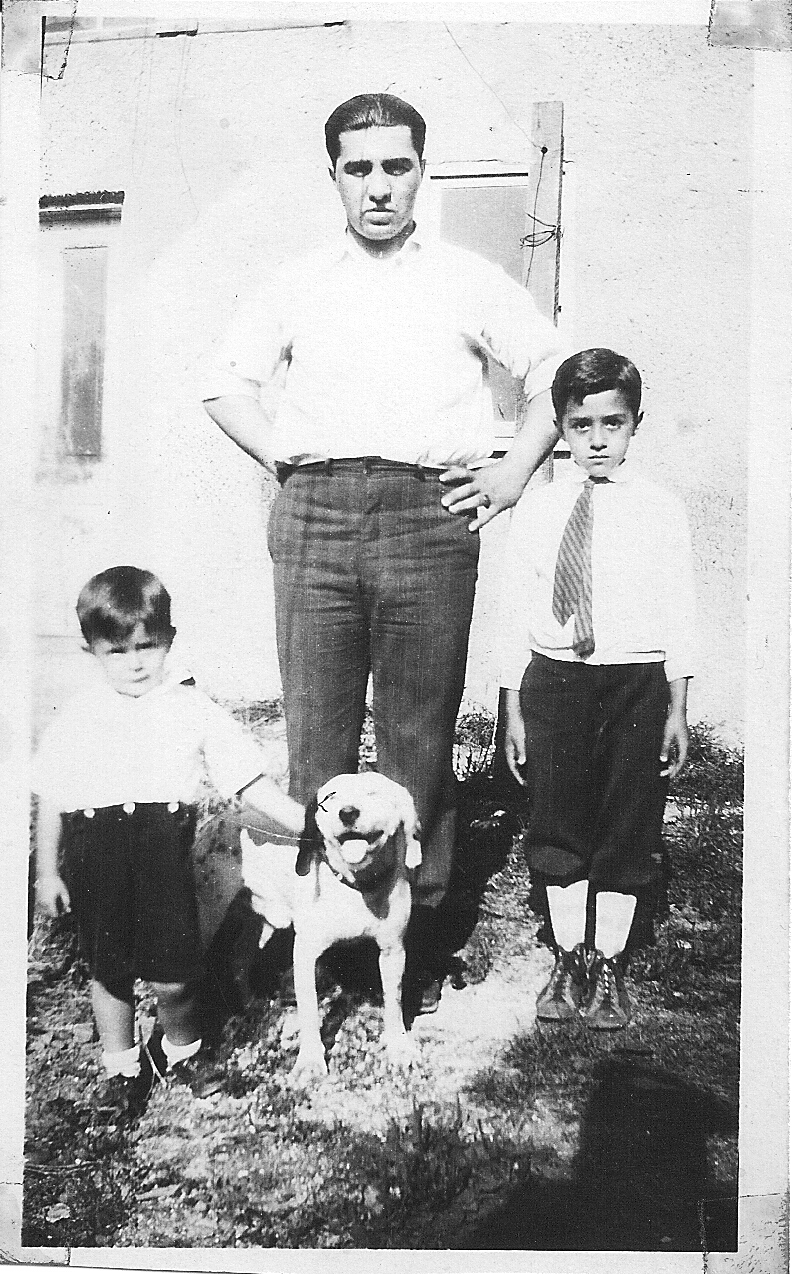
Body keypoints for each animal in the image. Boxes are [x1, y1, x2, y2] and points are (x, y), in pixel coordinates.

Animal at [241, 769, 425, 1080]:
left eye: (373, 792)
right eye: (330, 797)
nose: (347, 813)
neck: (356, 887)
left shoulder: (393, 951)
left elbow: (394, 1001)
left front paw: (399, 1046)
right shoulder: (305, 955)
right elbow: (309, 1010)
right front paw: (310, 1061)